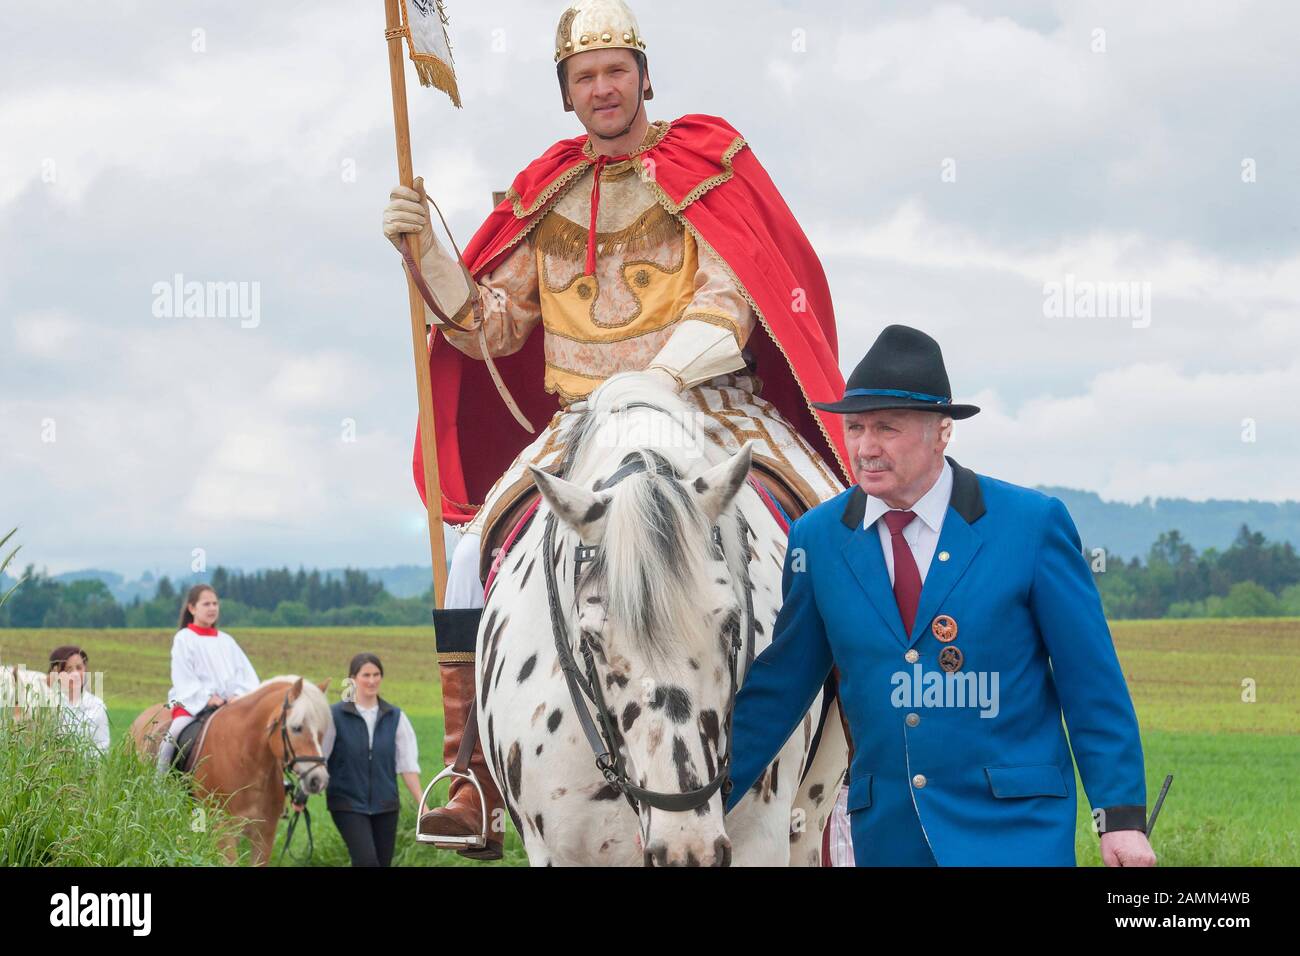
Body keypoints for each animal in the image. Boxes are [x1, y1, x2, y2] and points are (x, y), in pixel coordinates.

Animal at [130, 671, 330, 868]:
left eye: (322, 732)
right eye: (296, 728)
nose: (318, 779)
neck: (246, 762)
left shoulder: (264, 833)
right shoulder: (224, 830)